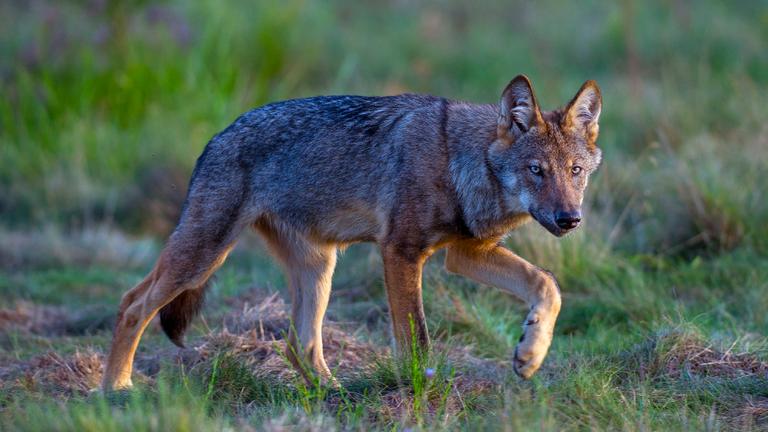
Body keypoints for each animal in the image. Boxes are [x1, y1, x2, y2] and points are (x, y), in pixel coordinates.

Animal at [102, 75, 602, 390]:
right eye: (536, 171)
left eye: (575, 172)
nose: (569, 219)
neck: (459, 161)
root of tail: (215, 139)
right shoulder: (401, 252)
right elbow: (417, 340)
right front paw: (420, 394)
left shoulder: (465, 252)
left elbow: (547, 284)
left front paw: (530, 355)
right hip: (205, 257)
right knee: (132, 305)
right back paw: (116, 389)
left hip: (319, 268)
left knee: (299, 345)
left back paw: (334, 395)